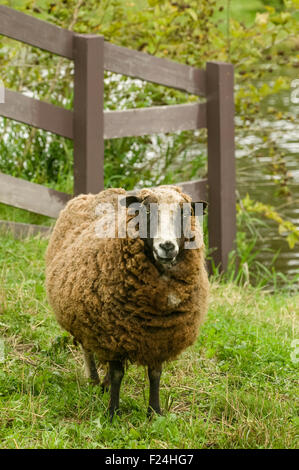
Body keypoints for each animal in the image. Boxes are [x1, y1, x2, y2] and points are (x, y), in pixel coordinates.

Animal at [45, 185, 210, 416]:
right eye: (146, 212)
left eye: (185, 214)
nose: (167, 246)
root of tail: (96, 194)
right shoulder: (111, 332)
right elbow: (117, 374)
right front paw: (112, 412)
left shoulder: (159, 338)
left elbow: (155, 374)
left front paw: (154, 412)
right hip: (83, 317)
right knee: (88, 349)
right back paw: (94, 381)